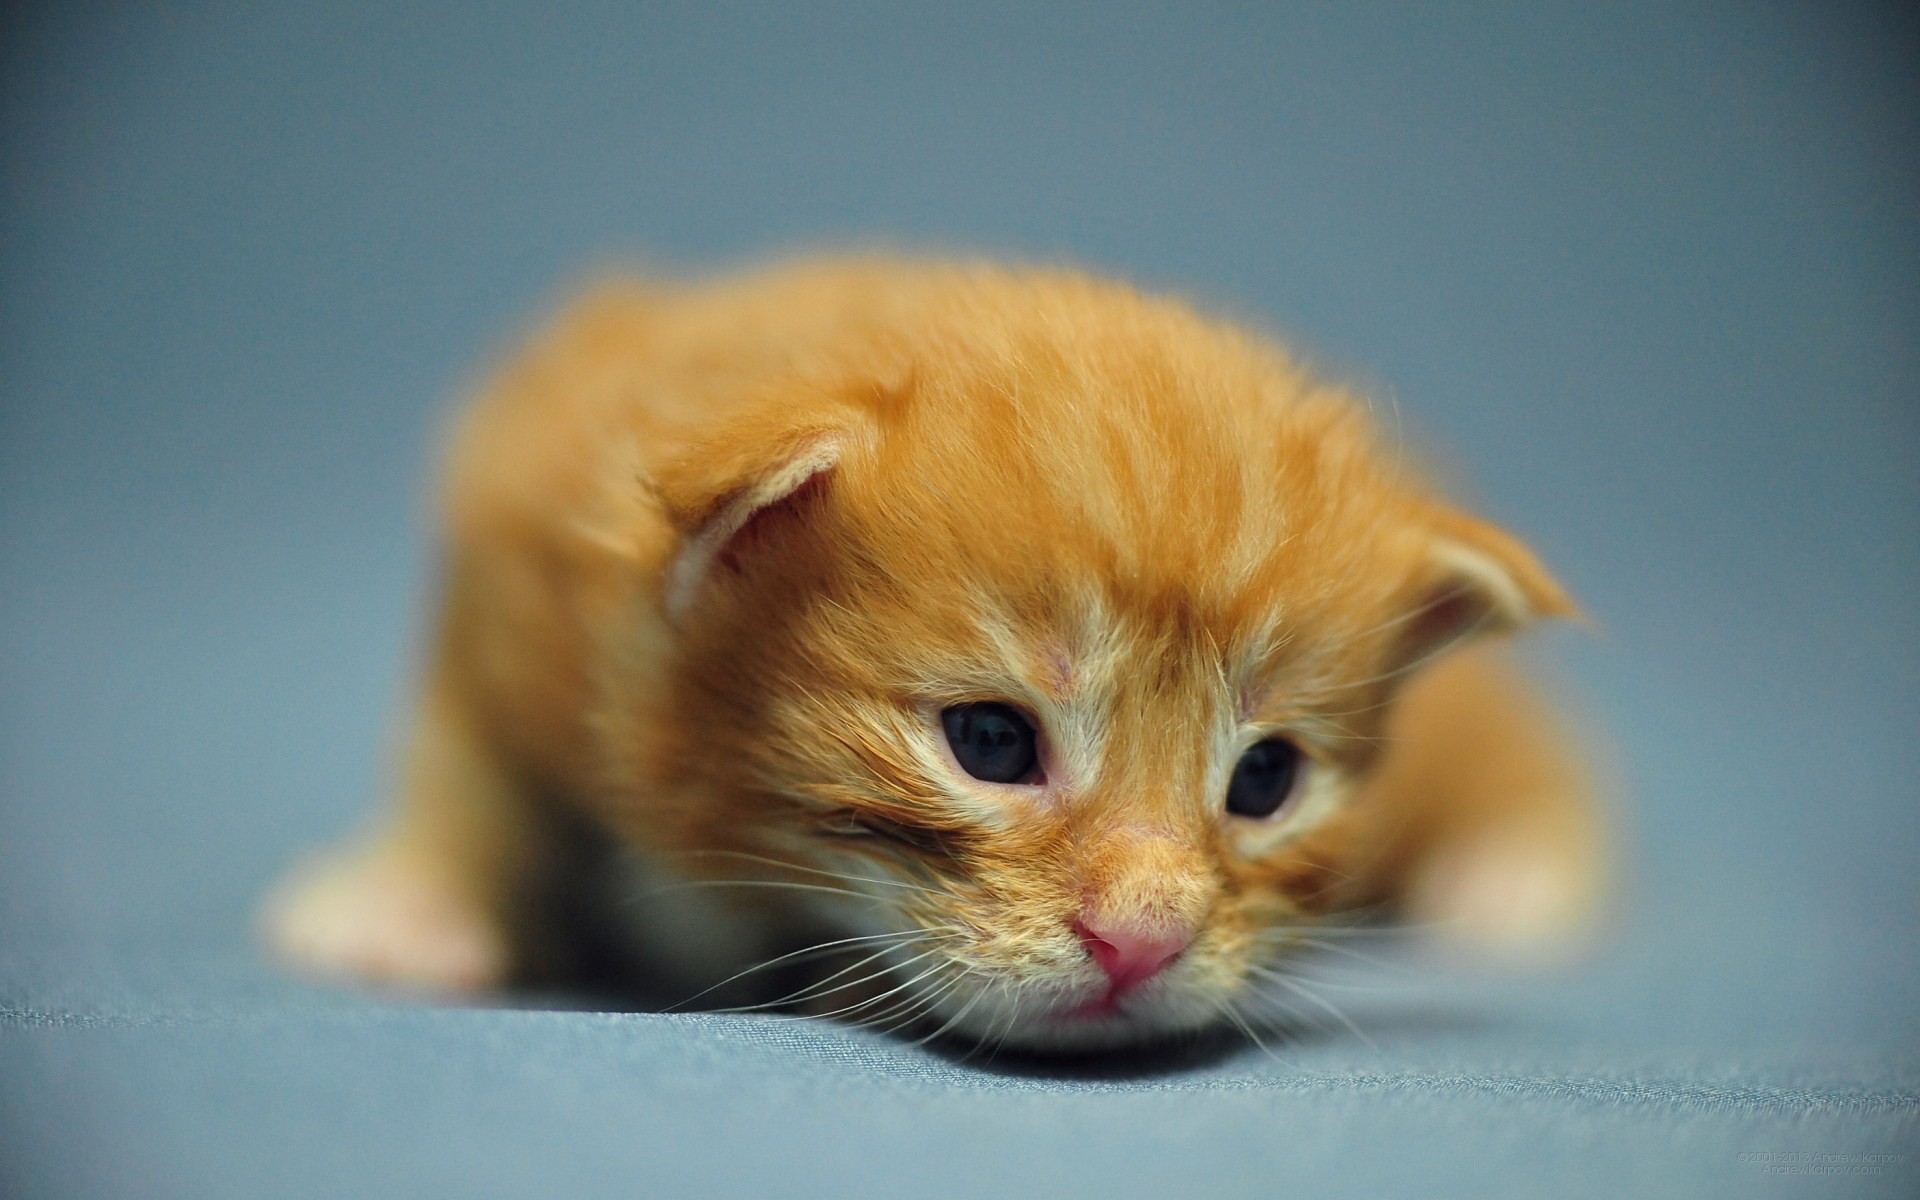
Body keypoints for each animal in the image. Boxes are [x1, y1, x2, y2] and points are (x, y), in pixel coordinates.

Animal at [259, 259, 1605, 1044]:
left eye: (1266, 781)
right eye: (992, 742)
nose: (1144, 944)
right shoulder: (512, 558)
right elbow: (465, 767)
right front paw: (407, 900)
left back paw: (1522, 873)